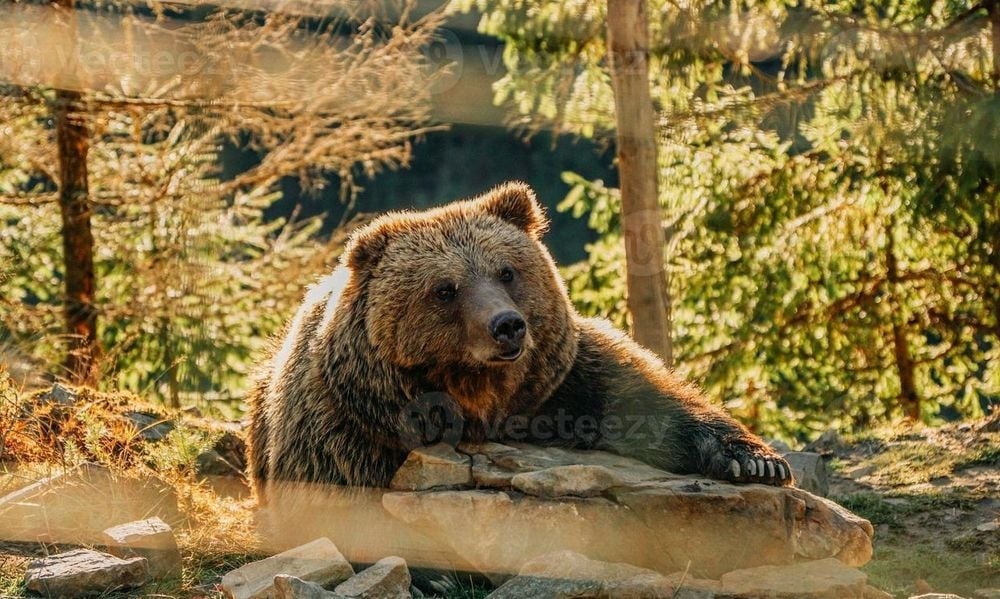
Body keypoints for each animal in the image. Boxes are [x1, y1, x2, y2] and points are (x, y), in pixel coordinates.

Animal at [246, 182, 792, 496]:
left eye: (506, 271)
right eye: (445, 289)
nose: (507, 325)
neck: (478, 395)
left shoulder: (565, 376)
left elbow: (654, 402)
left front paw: (757, 462)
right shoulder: (347, 424)